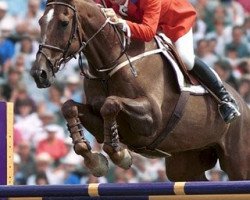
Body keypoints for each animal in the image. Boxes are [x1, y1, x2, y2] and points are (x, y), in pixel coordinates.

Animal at [31, 0, 250, 181]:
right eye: (40, 22)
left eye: (63, 23)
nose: (39, 73)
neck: (111, 64)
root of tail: (244, 104)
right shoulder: (96, 115)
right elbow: (70, 107)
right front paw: (94, 160)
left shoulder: (152, 118)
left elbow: (111, 104)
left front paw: (120, 155)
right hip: (185, 163)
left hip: (238, 162)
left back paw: (228, 105)